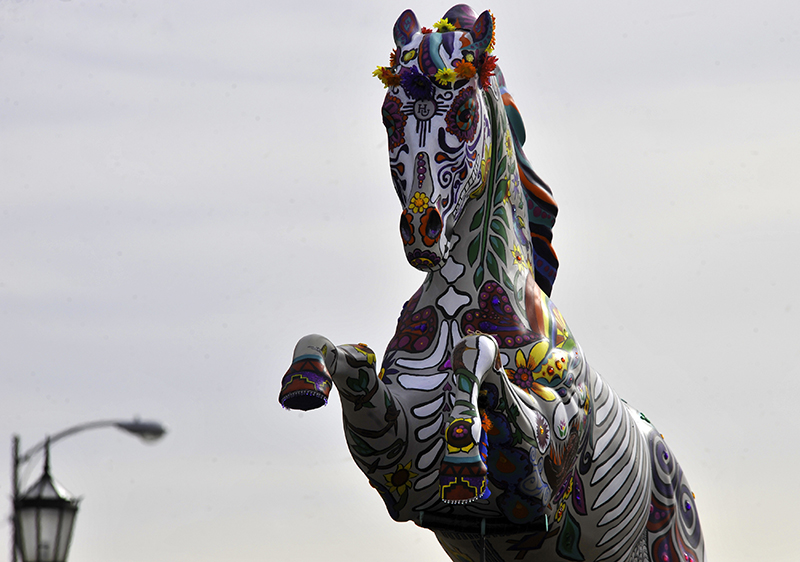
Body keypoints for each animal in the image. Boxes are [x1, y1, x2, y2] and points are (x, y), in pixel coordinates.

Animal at [278, 5, 704, 560]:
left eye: (463, 114)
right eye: (389, 115)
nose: (422, 229)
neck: (456, 306)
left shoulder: (540, 474)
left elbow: (478, 353)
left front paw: (463, 451)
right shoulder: (395, 460)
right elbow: (341, 351)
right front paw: (303, 384)